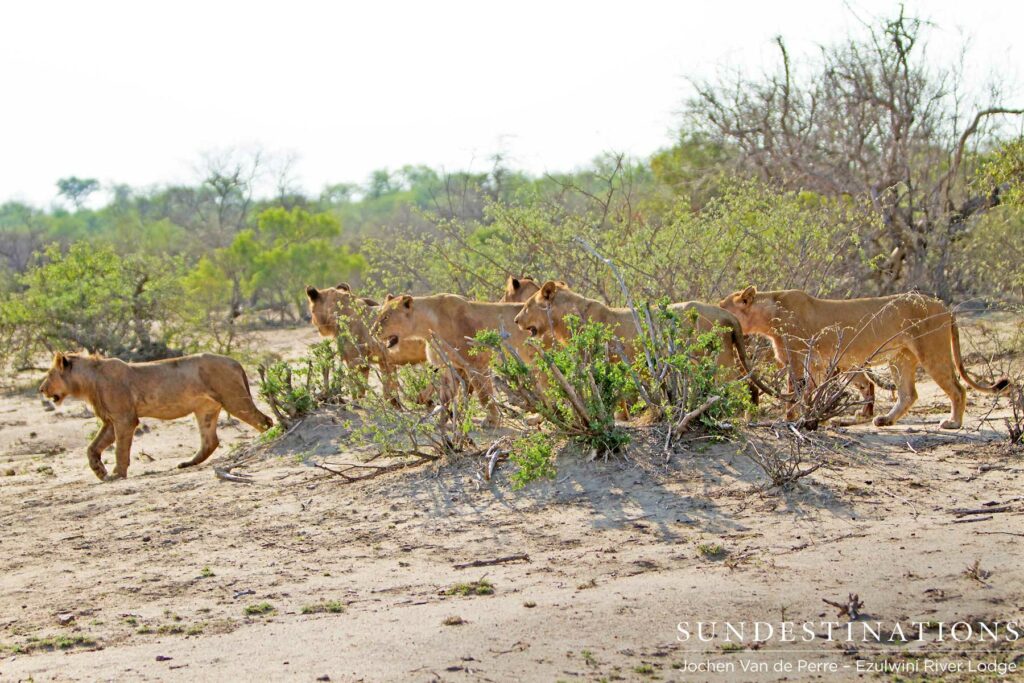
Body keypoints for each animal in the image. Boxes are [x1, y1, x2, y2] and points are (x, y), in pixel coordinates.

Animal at [39, 352, 273, 480]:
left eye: (49, 374)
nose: (41, 389)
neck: (89, 381)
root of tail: (235, 361)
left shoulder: (125, 419)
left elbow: (121, 450)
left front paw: (117, 474)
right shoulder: (111, 420)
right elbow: (92, 448)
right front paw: (99, 471)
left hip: (234, 399)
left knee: (264, 421)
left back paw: (264, 441)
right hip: (205, 409)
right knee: (211, 441)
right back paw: (187, 463)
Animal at [372, 294, 532, 425]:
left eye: (386, 317)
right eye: (379, 315)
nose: (372, 331)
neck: (428, 328)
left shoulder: (476, 363)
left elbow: (484, 395)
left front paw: (491, 420)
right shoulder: (449, 366)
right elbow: (446, 397)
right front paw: (443, 421)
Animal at [513, 281, 779, 398]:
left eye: (526, 307)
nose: (515, 320)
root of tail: (727, 314)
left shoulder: (593, 361)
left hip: (720, 358)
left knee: (737, 385)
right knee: (750, 385)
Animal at [718, 286, 1011, 429]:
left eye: (722, 305)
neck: (769, 317)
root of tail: (945, 307)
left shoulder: (801, 358)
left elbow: (797, 392)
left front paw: (790, 419)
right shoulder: (814, 363)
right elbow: (806, 392)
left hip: (932, 352)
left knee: (958, 388)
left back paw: (953, 423)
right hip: (901, 358)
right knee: (909, 394)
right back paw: (885, 420)